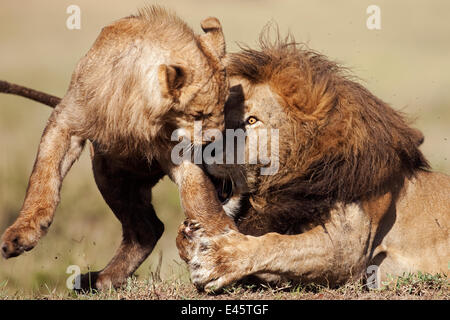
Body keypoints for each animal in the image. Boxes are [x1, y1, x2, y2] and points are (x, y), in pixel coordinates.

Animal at [0, 5, 232, 290]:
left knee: (149, 227)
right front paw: (20, 236)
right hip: (107, 172)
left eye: (224, 106)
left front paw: (224, 245)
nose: (218, 145)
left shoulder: (180, 151)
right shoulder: (66, 121)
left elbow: (200, 199)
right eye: (199, 114)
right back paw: (101, 279)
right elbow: (43, 176)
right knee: (147, 228)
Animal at [176, 31, 450, 290]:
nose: (201, 146)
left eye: (251, 120)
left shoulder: (349, 248)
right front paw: (188, 236)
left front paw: (220, 258)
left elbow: (277, 245)